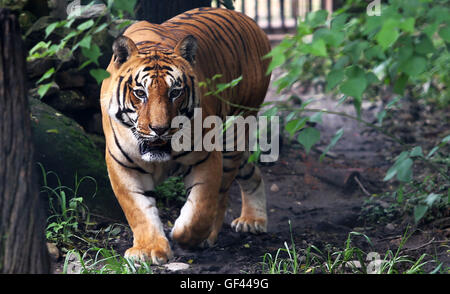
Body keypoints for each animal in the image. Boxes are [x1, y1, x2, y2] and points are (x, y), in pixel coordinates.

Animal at [100, 6, 270, 264]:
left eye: (175, 92)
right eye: (140, 93)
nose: (159, 128)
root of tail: (250, 21)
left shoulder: (206, 157)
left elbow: (201, 207)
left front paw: (185, 237)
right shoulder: (122, 165)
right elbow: (138, 210)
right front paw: (148, 250)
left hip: (234, 134)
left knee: (222, 193)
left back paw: (218, 233)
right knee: (252, 171)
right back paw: (254, 220)